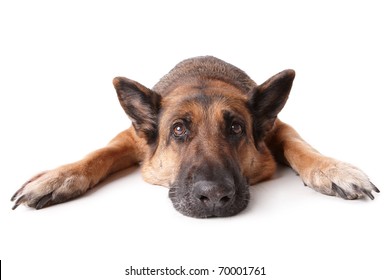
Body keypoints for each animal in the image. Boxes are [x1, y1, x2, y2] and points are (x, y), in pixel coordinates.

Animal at [9, 55, 380, 218]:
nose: (214, 197)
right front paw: (58, 177)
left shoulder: (279, 129)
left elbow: (299, 146)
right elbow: (99, 153)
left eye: (236, 128)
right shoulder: (130, 138)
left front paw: (333, 169)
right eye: (178, 129)